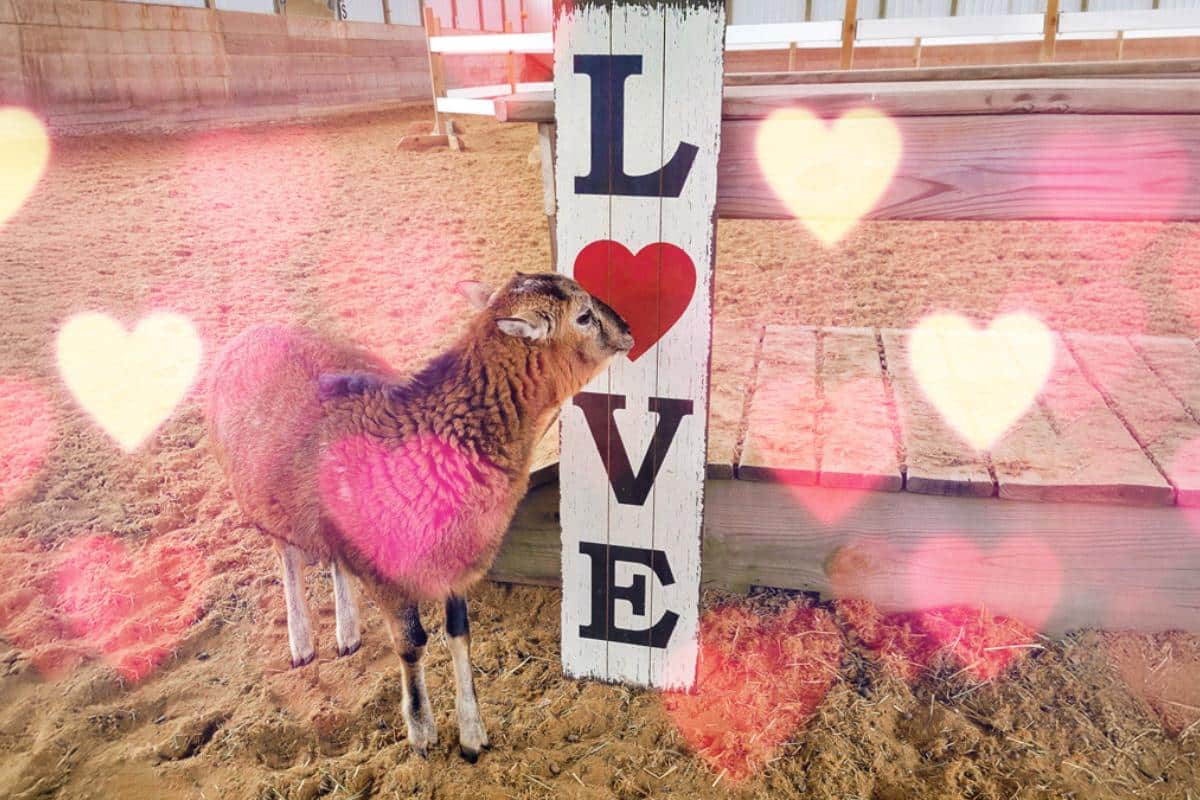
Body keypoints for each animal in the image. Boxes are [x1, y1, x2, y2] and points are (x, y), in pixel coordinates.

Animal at [206, 271, 633, 761]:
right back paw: (302, 643)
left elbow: (459, 635)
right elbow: (412, 645)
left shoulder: (456, 561)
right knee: (289, 557)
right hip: (263, 501)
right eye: (583, 316)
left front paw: (472, 735)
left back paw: (347, 632)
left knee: (333, 561)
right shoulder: (389, 577)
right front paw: (422, 732)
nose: (628, 330)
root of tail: (254, 331)